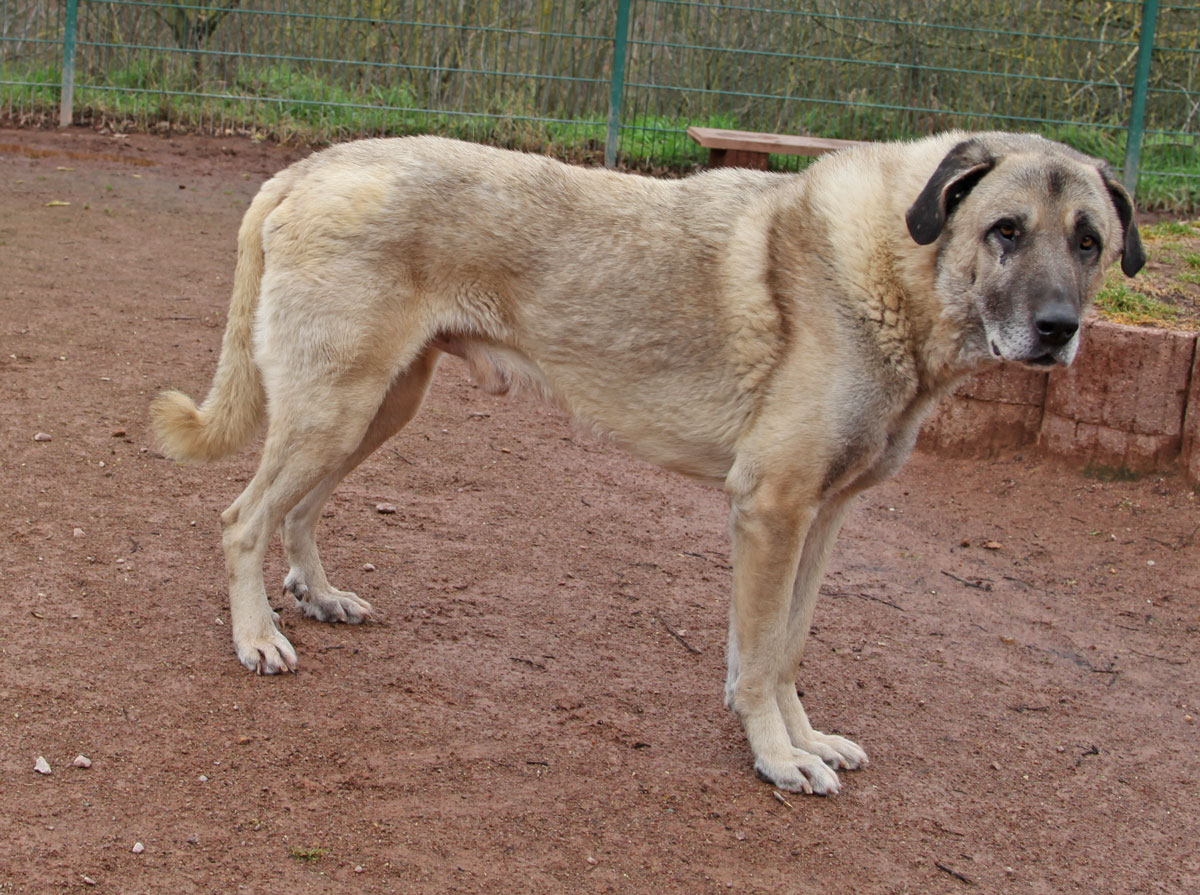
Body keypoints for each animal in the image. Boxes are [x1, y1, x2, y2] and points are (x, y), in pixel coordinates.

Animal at [152, 132, 1144, 795]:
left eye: (1088, 240)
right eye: (1006, 230)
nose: (1059, 330)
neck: (895, 269)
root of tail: (308, 165)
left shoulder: (821, 519)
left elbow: (785, 648)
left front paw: (806, 739)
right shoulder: (771, 510)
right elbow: (759, 658)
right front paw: (777, 757)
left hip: (374, 409)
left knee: (297, 510)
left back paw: (317, 596)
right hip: (335, 410)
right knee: (242, 519)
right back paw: (257, 636)